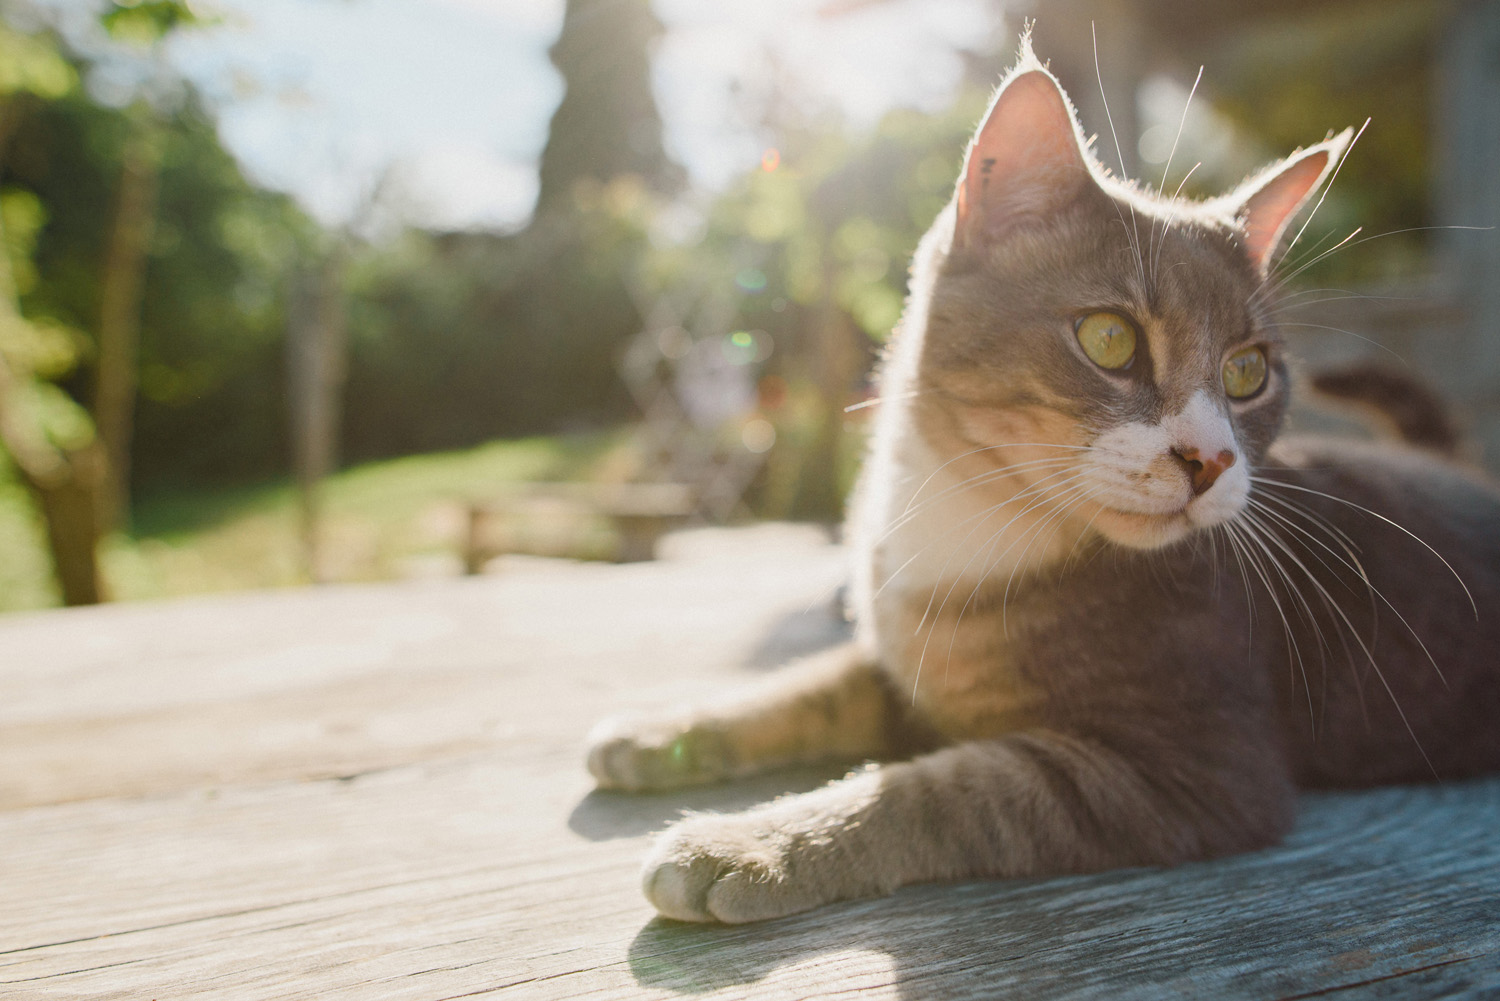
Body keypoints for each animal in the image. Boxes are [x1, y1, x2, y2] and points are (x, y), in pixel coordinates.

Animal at [582, 31, 1500, 924]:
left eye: (1248, 373)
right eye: (1108, 338)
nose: (1210, 460)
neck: (974, 518)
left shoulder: (1201, 772)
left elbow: (942, 789)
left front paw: (751, 843)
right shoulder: (902, 663)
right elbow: (807, 685)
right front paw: (663, 730)